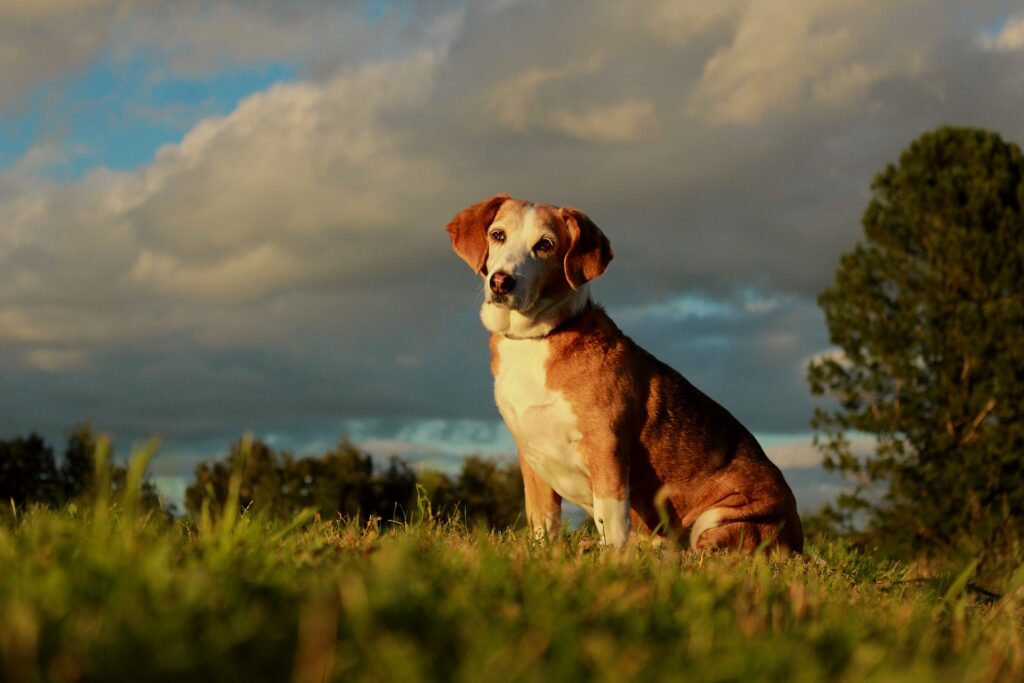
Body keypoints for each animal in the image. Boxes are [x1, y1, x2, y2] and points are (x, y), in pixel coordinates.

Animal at [444, 193, 802, 557]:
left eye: (545, 245)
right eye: (497, 235)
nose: (501, 282)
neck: (539, 338)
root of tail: (799, 538)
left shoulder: (607, 447)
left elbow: (612, 516)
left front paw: (611, 558)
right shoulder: (531, 456)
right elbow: (542, 519)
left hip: (721, 517)